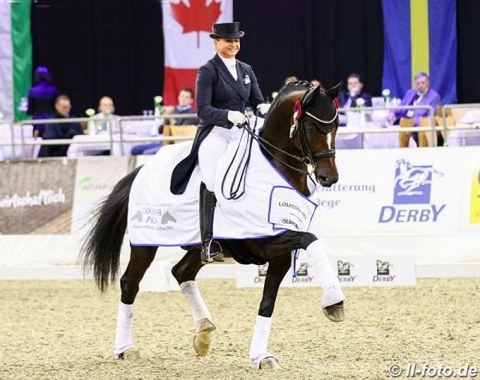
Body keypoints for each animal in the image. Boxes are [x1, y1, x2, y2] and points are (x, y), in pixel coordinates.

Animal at [81, 81, 344, 370]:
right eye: (312, 127)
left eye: (336, 125)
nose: (329, 177)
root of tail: (141, 170)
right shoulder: (262, 244)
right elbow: (310, 238)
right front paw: (334, 300)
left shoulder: (280, 254)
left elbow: (267, 303)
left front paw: (261, 356)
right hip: (145, 243)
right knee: (130, 282)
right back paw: (125, 348)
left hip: (198, 248)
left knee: (181, 272)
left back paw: (204, 331)